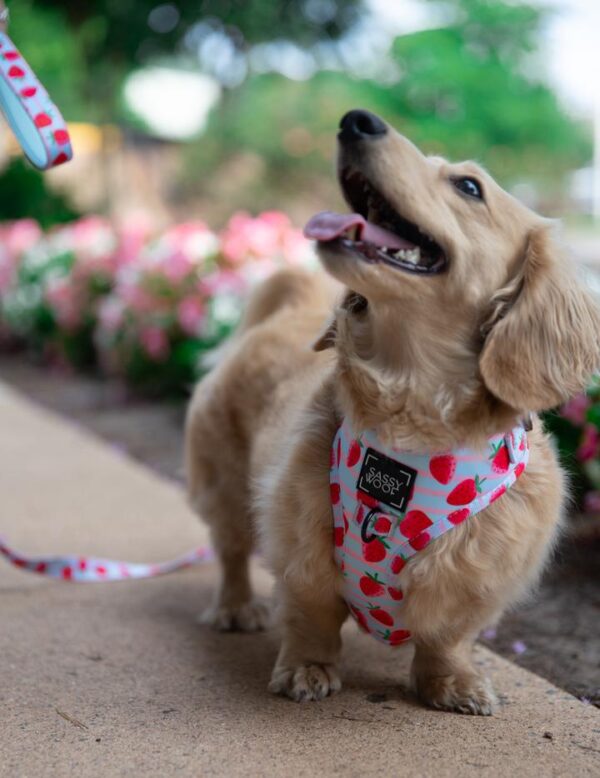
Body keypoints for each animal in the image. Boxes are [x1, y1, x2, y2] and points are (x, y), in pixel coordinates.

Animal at [185, 110, 596, 716]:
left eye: (469, 186)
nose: (357, 120)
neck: (412, 419)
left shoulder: (478, 575)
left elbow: (448, 637)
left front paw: (451, 682)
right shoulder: (301, 545)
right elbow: (310, 616)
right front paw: (307, 667)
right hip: (227, 484)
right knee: (232, 549)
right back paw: (236, 608)